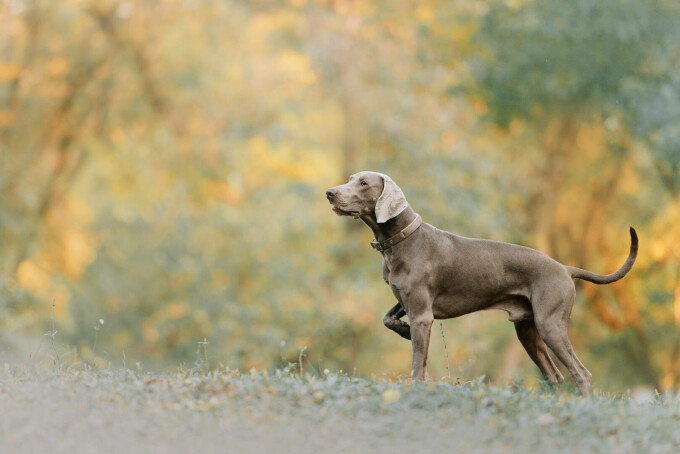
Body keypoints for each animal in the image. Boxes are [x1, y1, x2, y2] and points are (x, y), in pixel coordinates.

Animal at [326, 171, 636, 394]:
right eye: (351, 178)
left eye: (363, 183)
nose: (330, 193)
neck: (402, 239)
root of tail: (565, 269)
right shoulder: (406, 302)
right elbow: (387, 318)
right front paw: (403, 331)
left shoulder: (422, 314)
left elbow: (417, 363)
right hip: (527, 329)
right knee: (554, 375)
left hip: (550, 324)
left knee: (581, 373)